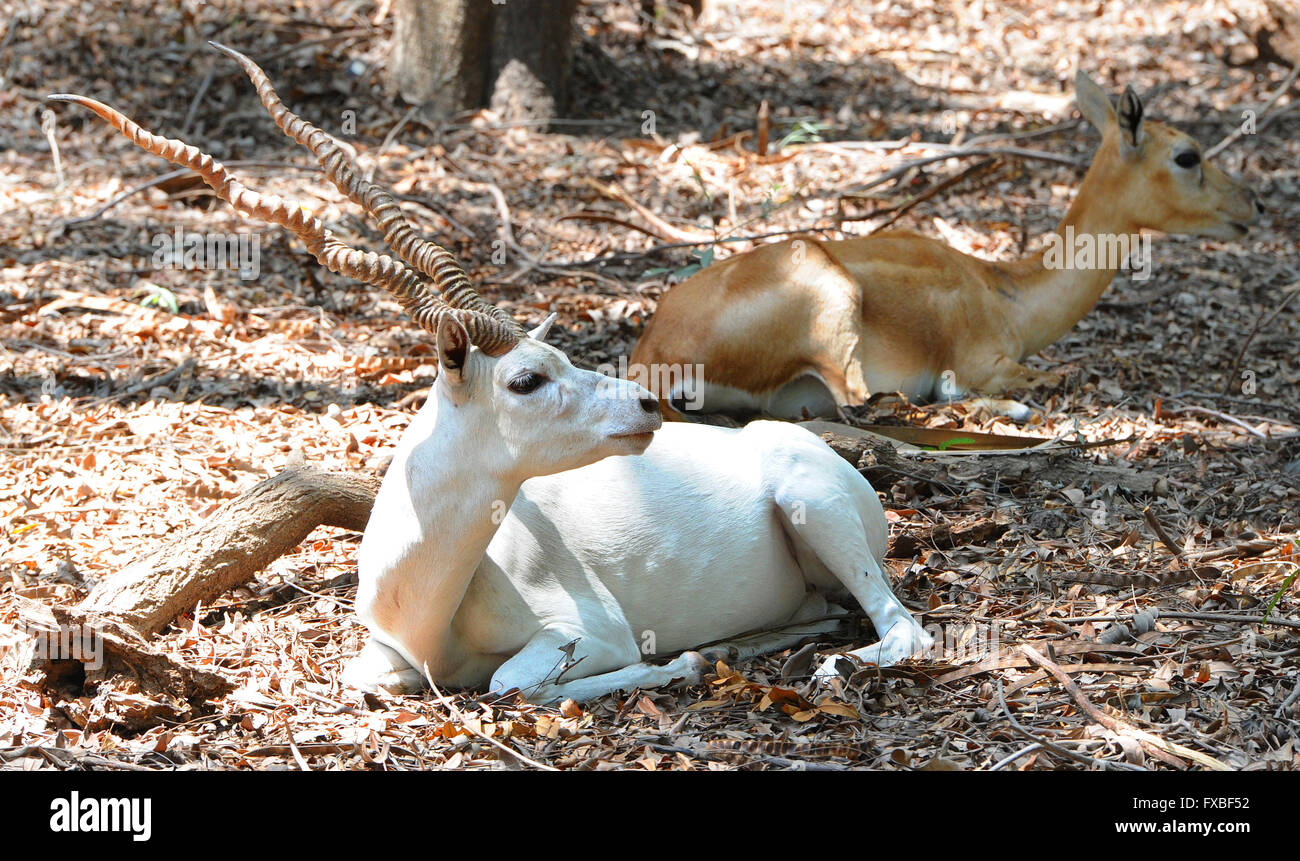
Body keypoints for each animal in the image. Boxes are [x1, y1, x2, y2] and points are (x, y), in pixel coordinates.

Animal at [55, 43, 935, 707]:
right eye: (527, 379)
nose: (646, 405)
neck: (424, 596)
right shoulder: (380, 655)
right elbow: (376, 680)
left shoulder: (591, 627)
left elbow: (514, 681)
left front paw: (676, 661)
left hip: (817, 510)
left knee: (903, 628)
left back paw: (826, 663)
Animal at [626, 69, 1258, 418]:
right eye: (1188, 156)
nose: (1252, 207)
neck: (1004, 291)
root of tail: (650, 359)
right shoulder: (986, 357)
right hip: (833, 308)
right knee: (867, 403)